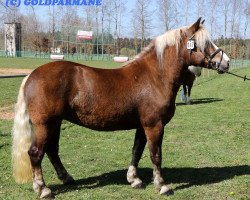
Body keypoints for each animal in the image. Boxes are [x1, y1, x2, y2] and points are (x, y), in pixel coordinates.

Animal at [12, 18, 229, 198]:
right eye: (204, 43)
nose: (225, 62)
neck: (154, 77)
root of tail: (31, 75)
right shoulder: (154, 125)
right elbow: (155, 154)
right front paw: (162, 185)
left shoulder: (142, 125)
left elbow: (137, 150)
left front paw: (134, 180)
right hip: (45, 124)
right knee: (35, 152)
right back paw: (43, 189)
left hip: (55, 123)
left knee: (51, 150)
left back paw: (66, 178)